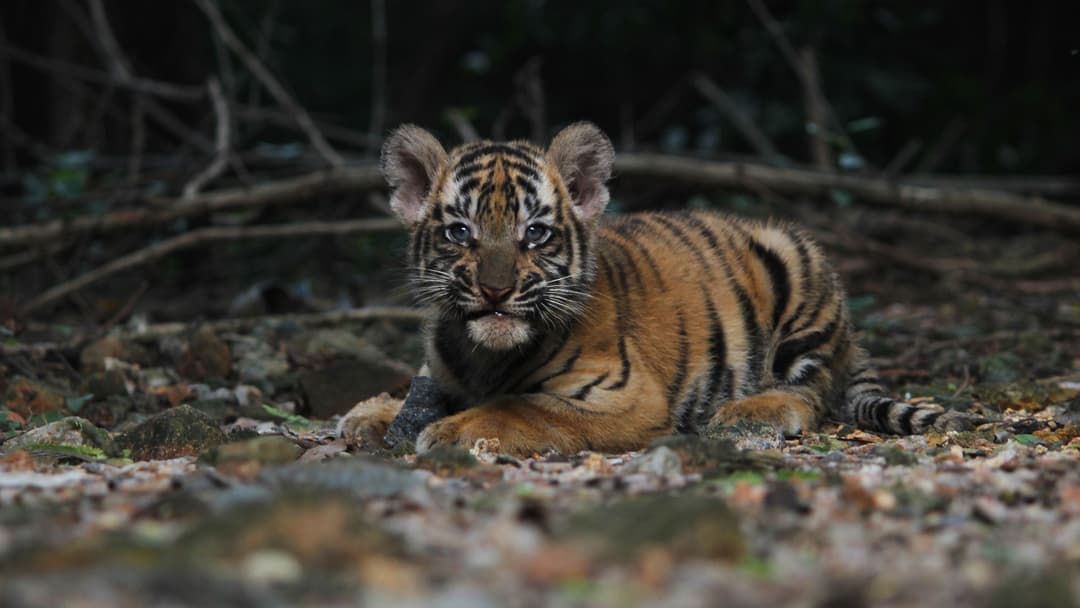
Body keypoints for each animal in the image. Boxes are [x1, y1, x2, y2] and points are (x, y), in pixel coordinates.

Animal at [337, 122, 977, 456]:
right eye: (460, 232)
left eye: (535, 233)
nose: (495, 292)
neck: (483, 357)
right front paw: (370, 414)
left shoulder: (625, 397)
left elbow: (523, 407)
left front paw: (450, 431)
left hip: (795, 262)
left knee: (811, 392)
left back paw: (746, 414)